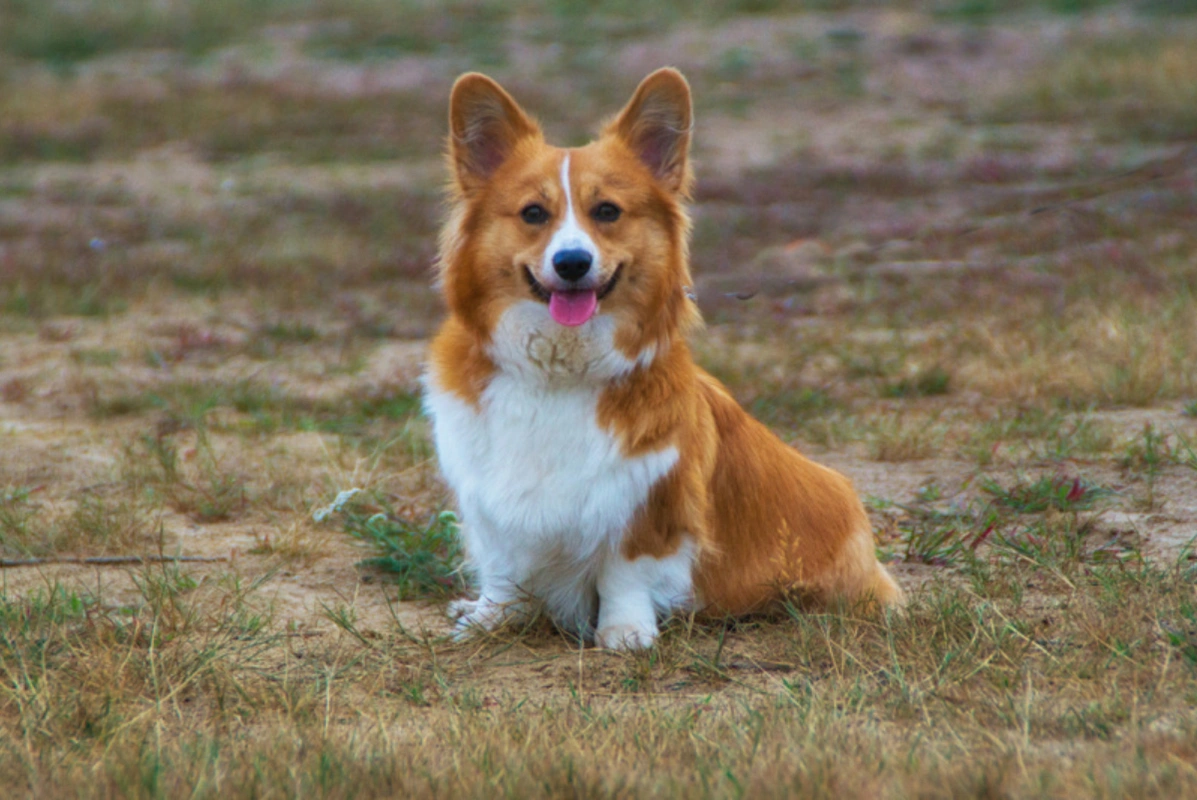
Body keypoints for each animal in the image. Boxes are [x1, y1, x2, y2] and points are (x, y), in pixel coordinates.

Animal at [426, 65, 900, 646]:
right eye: (533, 214)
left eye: (607, 211)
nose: (572, 262)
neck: (560, 370)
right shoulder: (488, 500)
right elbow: (502, 567)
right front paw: (488, 617)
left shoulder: (649, 502)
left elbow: (624, 572)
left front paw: (625, 633)